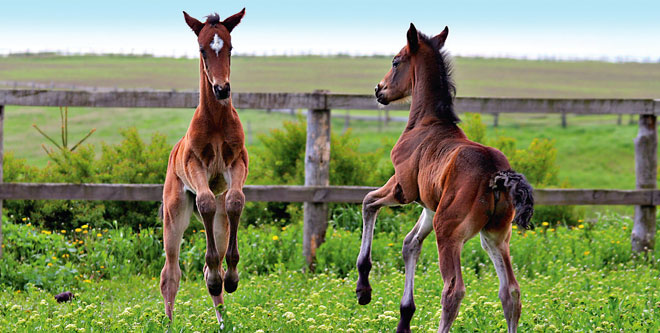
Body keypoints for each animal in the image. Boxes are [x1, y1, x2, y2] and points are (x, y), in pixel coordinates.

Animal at [160, 7, 248, 324]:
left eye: (230, 47)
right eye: (202, 49)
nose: (222, 89)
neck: (217, 122)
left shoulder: (237, 163)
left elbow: (235, 200)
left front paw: (232, 278)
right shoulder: (196, 165)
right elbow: (206, 200)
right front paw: (216, 278)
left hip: (221, 225)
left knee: (215, 257)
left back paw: (224, 318)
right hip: (174, 214)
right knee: (170, 273)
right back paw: (169, 324)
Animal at [354, 24, 532, 332]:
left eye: (395, 61)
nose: (379, 90)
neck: (426, 122)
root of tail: (497, 174)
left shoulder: (402, 188)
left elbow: (368, 202)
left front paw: (363, 289)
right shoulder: (429, 207)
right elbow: (410, 244)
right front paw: (404, 318)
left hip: (448, 232)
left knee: (453, 290)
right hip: (495, 235)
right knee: (510, 292)